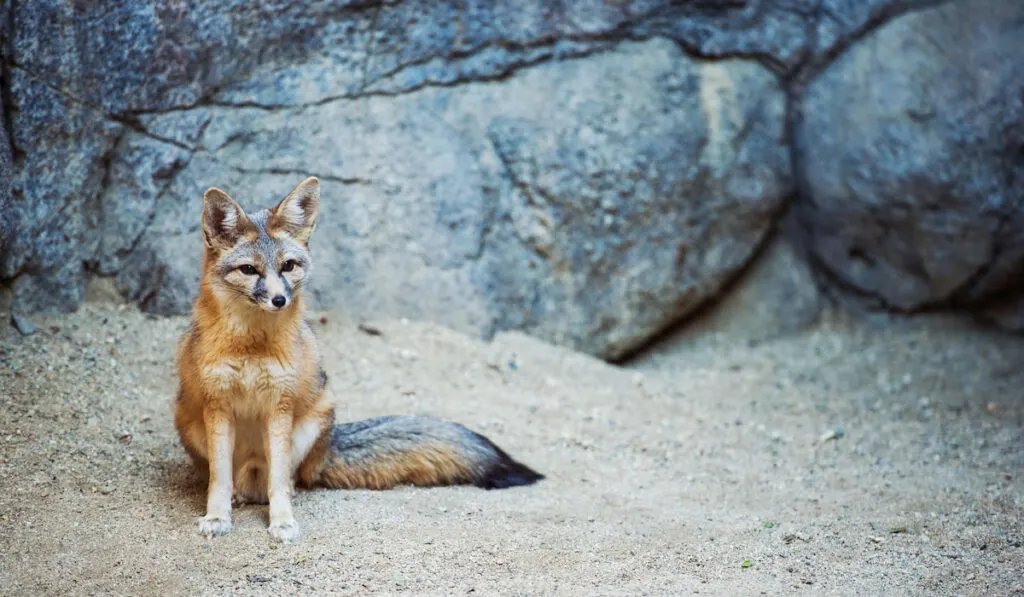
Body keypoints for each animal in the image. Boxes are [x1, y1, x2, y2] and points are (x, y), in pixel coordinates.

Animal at [176, 176, 544, 540]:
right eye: (249, 269)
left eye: (288, 266)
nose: (280, 300)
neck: (252, 345)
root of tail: (327, 449)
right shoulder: (218, 405)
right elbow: (219, 479)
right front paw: (216, 517)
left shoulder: (279, 406)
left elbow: (278, 481)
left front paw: (282, 522)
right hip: (190, 423)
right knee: (234, 481)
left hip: (312, 422)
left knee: (285, 481)